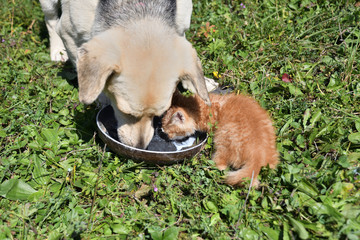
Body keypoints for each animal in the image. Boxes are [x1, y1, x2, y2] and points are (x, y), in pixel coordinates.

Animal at [40, 0, 217, 149]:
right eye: (125, 112)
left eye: (158, 115)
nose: (139, 147)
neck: (140, 9)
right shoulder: (69, 32)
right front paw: (100, 98)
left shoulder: (180, 25)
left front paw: (200, 83)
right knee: (51, 19)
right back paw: (57, 50)